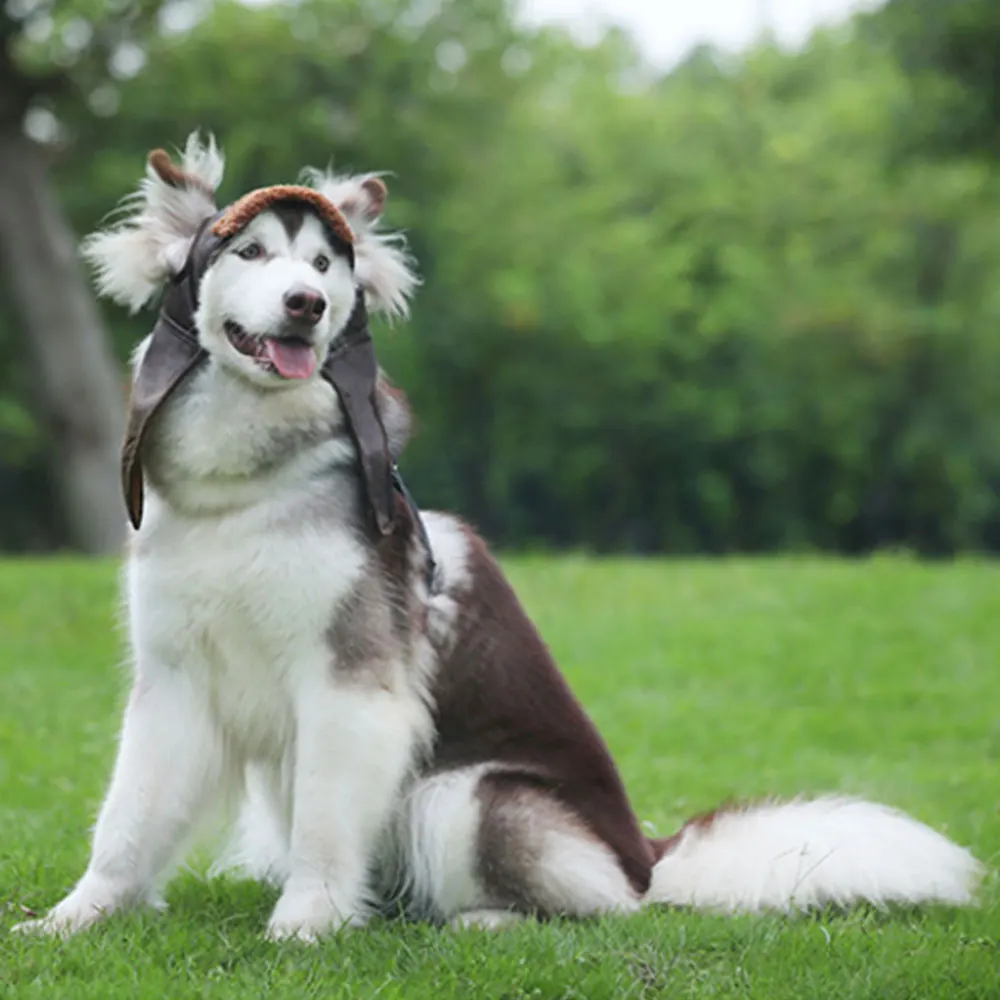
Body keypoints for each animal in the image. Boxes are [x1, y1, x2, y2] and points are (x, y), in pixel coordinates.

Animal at [15, 135, 984, 944]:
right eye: (249, 253)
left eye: (324, 263)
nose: (307, 302)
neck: (246, 490)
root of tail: (649, 856)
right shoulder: (174, 682)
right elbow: (126, 821)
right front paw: (74, 919)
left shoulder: (352, 687)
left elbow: (326, 825)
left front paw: (307, 925)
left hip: (465, 793)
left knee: (599, 909)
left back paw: (483, 923)